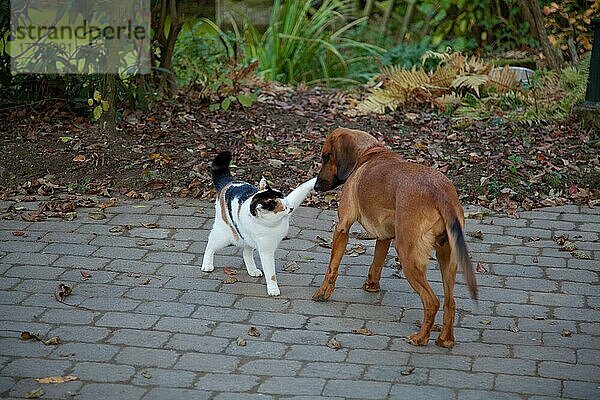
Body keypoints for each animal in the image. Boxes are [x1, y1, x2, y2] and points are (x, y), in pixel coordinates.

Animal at [202, 152, 316, 296]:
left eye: (287, 202)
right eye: (283, 207)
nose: (291, 208)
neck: (274, 225)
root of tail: (229, 183)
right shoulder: (266, 251)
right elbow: (271, 274)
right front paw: (273, 289)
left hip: (246, 237)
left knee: (246, 253)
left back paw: (252, 270)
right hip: (225, 236)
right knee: (210, 244)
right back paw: (207, 265)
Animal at [312, 127, 476, 346]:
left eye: (326, 157)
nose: (316, 187)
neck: (369, 154)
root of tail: (440, 194)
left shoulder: (342, 228)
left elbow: (332, 268)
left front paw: (323, 293)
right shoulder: (384, 236)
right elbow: (377, 263)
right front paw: (371, 286)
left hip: (408, 255)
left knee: (432, 301)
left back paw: (421, 338)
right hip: (447, 259)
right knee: (450, 302)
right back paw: (445, 340)